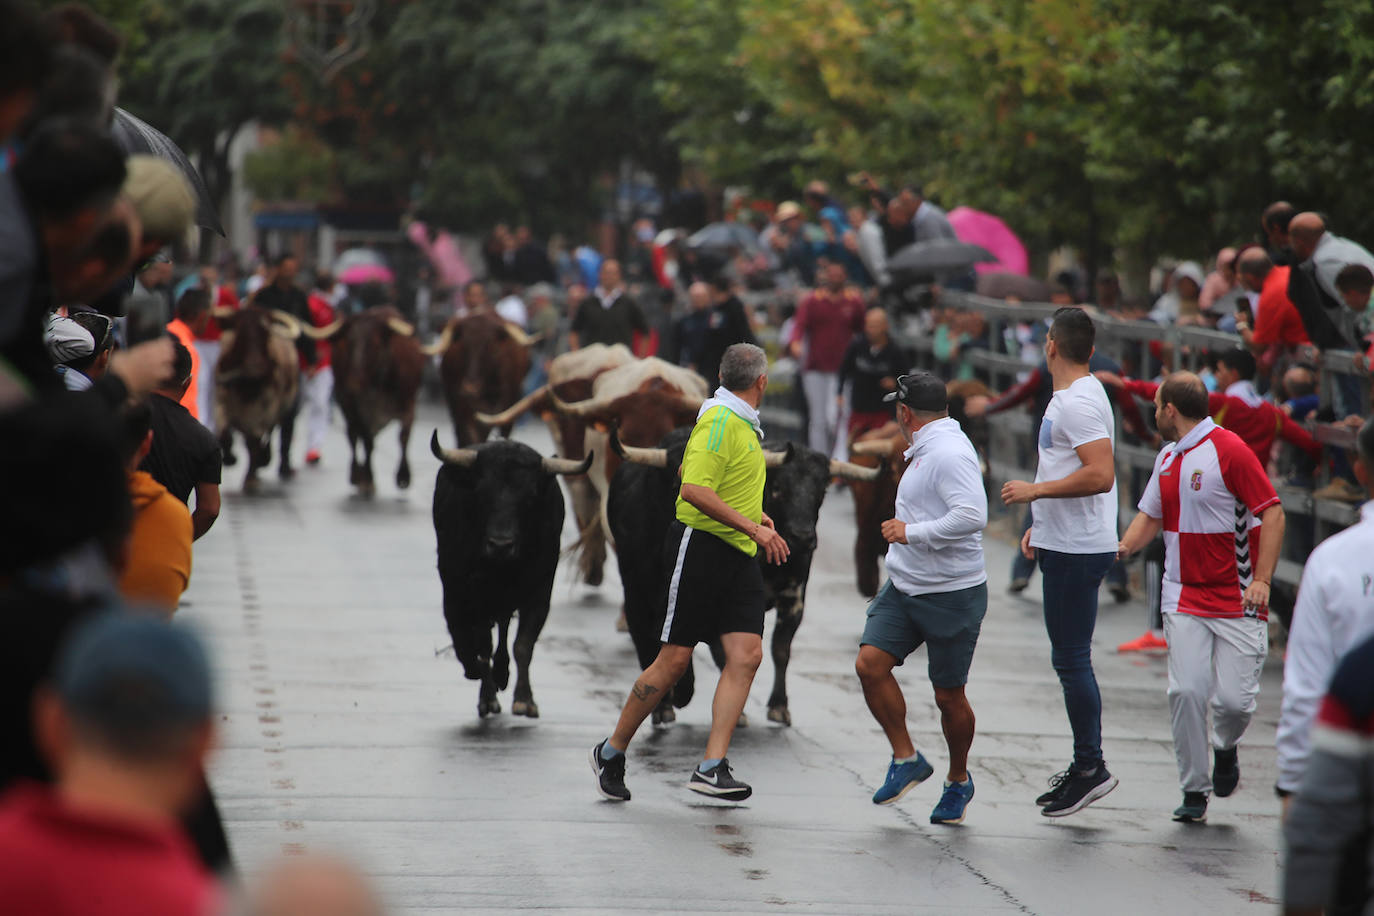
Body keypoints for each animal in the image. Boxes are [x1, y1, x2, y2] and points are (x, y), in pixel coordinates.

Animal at [431, 433, 593, 719]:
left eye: (530, 497)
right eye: (482, 493)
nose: (500, 545)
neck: (503, 570)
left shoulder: (539, 595)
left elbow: (523, 645)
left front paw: (524, 699)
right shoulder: (466, 595)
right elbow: (478, 645)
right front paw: (486, 695)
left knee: (505, 628)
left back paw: (502, 673)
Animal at [610, 428, 879, 725]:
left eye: (822, 490)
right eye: (778, 488)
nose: (802, 537)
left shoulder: (794, 598)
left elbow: (781, 649)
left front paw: (779, 706)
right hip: (639, 593)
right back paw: (666, 705)